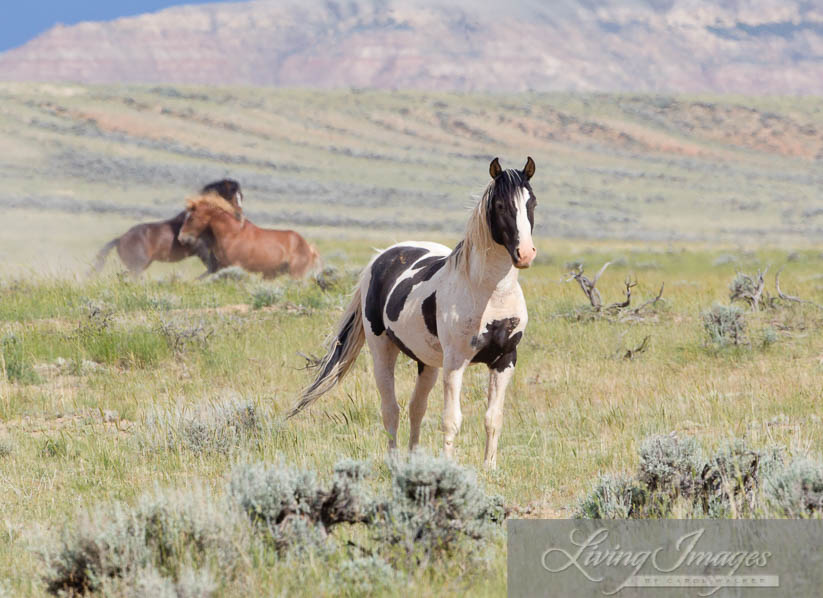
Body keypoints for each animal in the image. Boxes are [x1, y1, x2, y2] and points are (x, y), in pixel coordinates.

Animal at [92, 179, 245, 278]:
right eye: (233, 196)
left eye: (241, 197)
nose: (239, 216)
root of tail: (119, 239)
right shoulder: (201, 250)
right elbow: (212, 268)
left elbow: (217, 267)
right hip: (138, 266)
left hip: (142, 264)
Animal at [179, 193, 320, 280]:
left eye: (191, 218)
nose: (181, 237)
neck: (232, 234)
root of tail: (308, 247)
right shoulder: (222, 267)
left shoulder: (236, 266)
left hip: (296, 275)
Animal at [292, 158, 540, 468]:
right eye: (501, 205)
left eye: (532, 202)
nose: (525, 254)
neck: (490, 292)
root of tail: (380, 258)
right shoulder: (455, 362)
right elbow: (451, 420)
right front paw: (449, 468)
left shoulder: (505, 359)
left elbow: (493, 418)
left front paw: (490, 468)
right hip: (382, 351)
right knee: (391, 409)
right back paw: (394, 461)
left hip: (428, 362)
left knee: (415, 407)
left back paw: (413, 459)